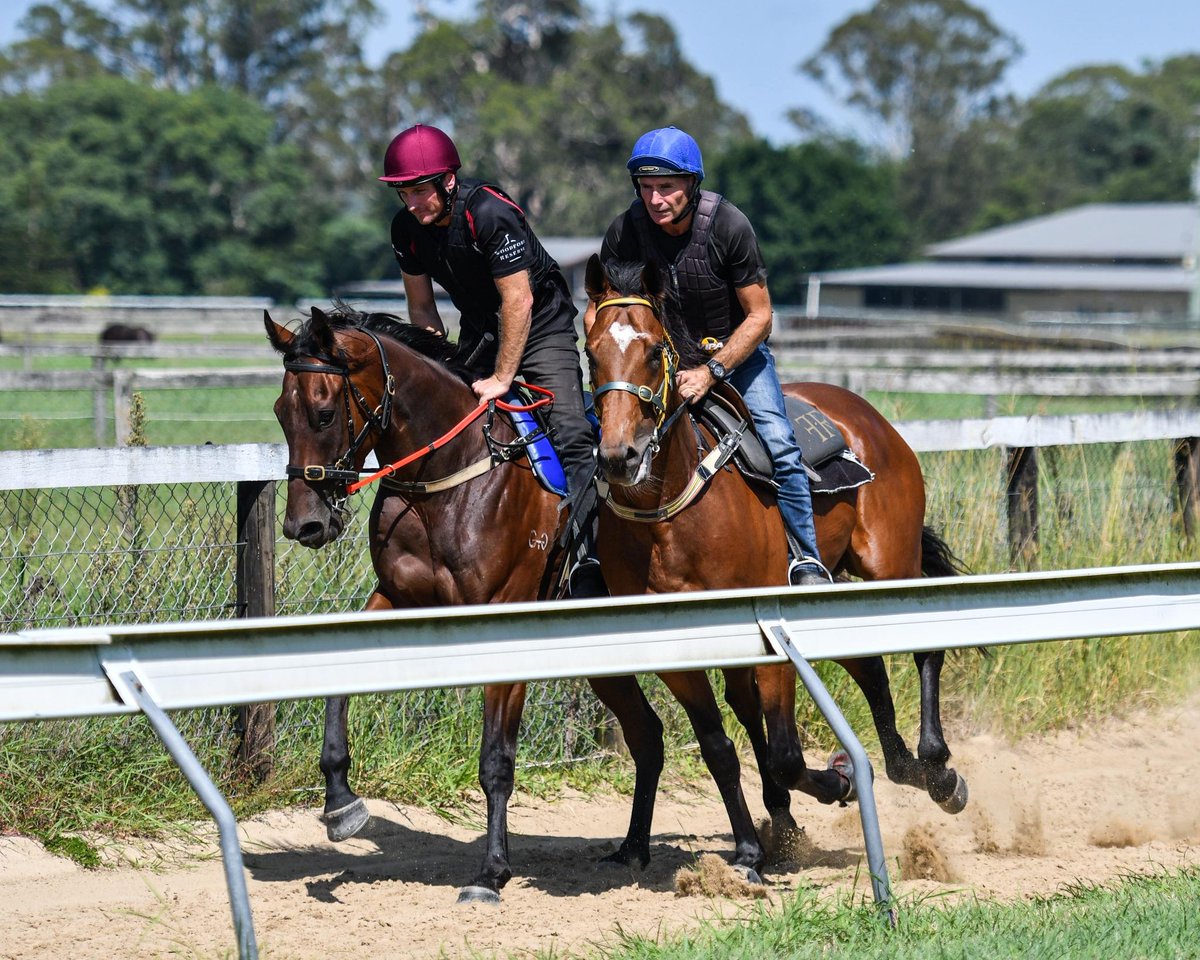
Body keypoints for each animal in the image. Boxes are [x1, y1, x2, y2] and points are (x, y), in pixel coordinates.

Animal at [262, 306, 772, 902]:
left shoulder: (504, 616)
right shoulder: (397, 597)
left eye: (323, 412)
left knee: (723, 725)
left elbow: (496, 759)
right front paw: (341, 801)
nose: (304, 525)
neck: (450, 477)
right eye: (280, 413)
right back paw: (633, 849)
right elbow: (337, 682)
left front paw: (491, 872)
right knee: (648, 735)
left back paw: (754, 845)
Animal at [585, 253, 969, 840]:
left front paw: (839, 781)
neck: (671, 518)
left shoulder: (770, 633)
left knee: (924, 643)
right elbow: (724, 740)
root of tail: (869, 417)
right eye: (591, 351)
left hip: (889, 561)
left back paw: (937, 768)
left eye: (653, 351)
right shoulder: (677, 651)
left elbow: (786, 755)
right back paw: (904, 765)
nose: (619, 456)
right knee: (869, 665)